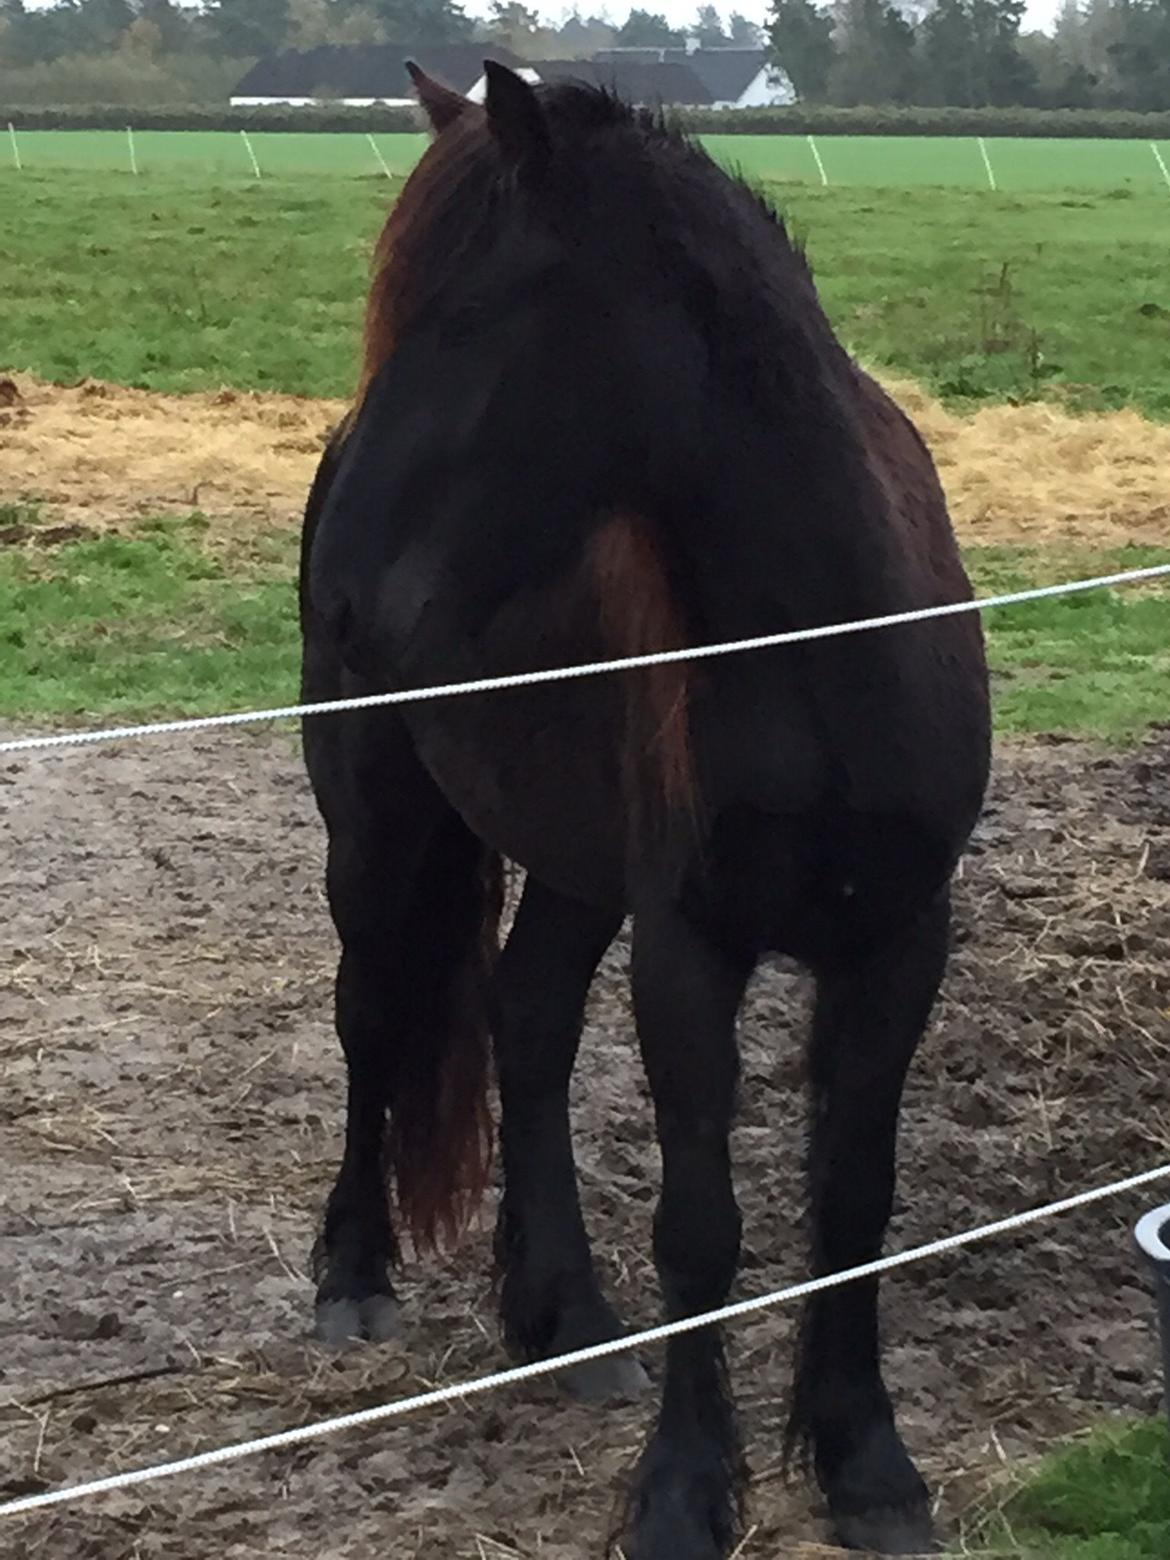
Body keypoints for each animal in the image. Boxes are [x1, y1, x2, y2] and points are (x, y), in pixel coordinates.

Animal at [298, 60, 991, 1558]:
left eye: (467, 317)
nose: (354, 600)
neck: (820, 643)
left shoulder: (900, 940)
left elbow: (854, 1199)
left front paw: (868, 1465)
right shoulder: (689, 948)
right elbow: (702, 1224)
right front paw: (683, 1489)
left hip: (572, 866)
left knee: (525, 1014)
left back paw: (564, 1314)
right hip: (374, 823)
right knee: (371, 1012)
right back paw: (355, 1272)